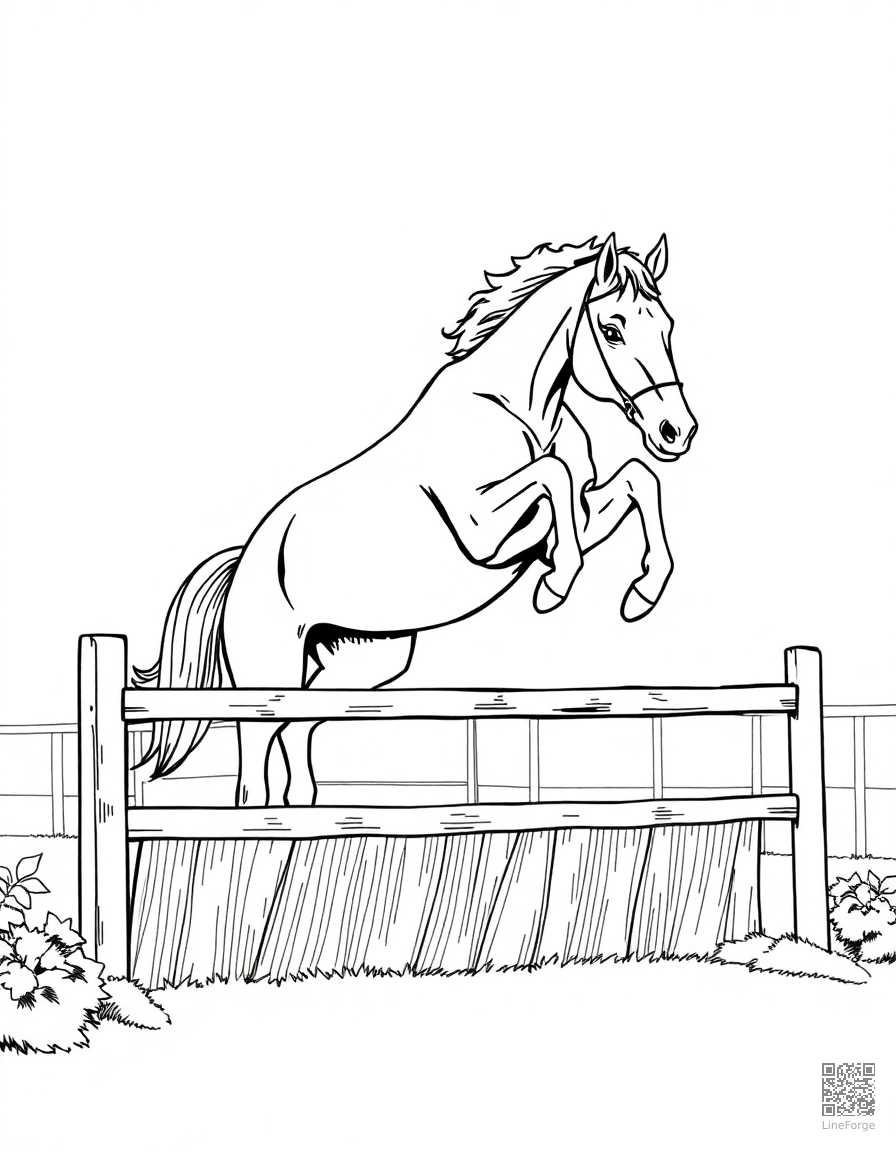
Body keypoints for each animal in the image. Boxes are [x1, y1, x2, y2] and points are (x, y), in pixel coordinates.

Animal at [135, 232, 698, 806]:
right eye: (612, 330)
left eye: (667, 325)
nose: (676, 431)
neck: (516, 410)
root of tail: (242, 563)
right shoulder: (483, 531)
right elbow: (555, 476)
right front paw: (555, 587)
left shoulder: (575, 517)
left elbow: (636, 481)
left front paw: (640, 593)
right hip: (268, 674)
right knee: (254, 765)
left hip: (358, 665)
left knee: (297, 737)